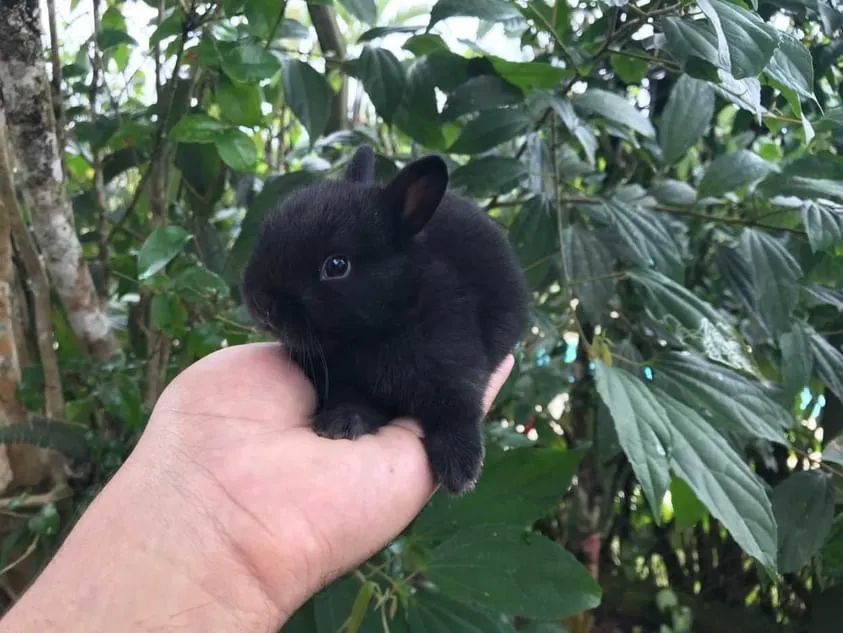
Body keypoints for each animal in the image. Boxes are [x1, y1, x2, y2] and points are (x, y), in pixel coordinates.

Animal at [242, 145, 528, 494]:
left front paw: (461, 470)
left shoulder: (456, 369)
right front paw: (343, 422)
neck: (376, 332)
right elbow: (354, 399)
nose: (260, 302)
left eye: (336, 265)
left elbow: (457, 413)